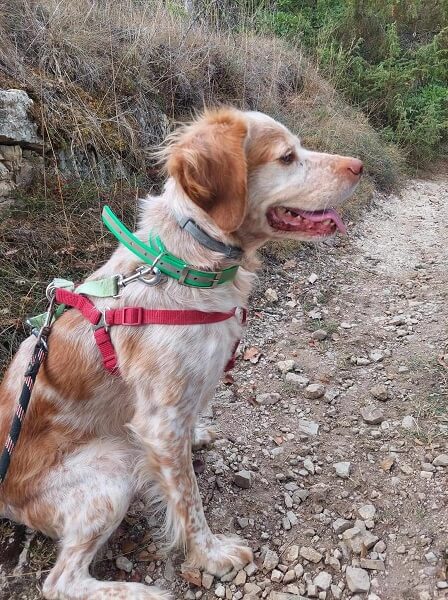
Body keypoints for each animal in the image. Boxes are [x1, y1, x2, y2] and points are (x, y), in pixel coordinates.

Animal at [0, 109, 362, 600]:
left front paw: (198, 437)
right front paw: (211, 554)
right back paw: (142, 593)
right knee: (61, 582)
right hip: (111, 470)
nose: (360, 165)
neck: (189, 266)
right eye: (287, 156)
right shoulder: (159, 422)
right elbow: (189, 502)